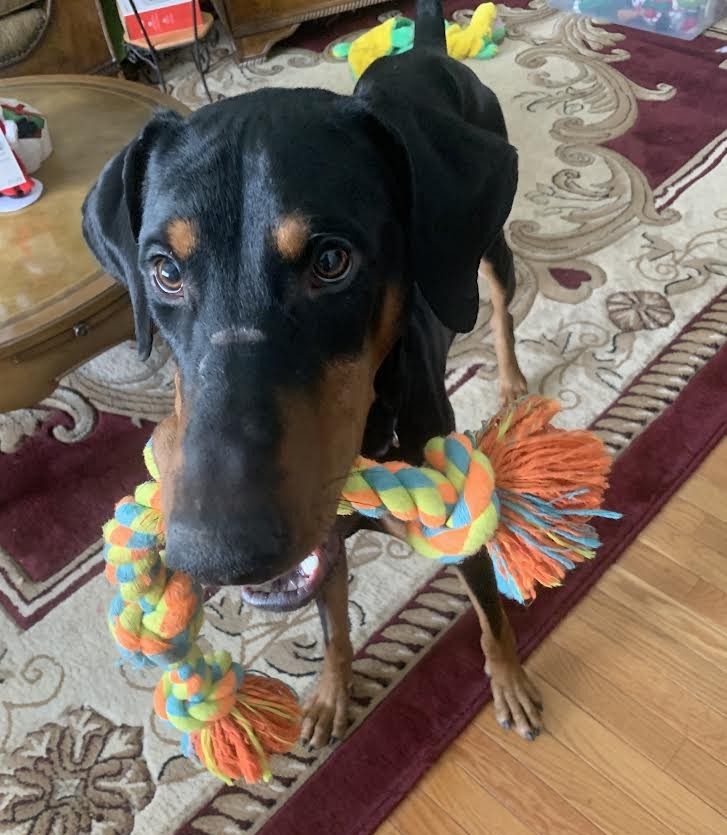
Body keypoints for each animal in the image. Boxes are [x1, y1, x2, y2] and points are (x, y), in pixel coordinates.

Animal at [82, 0, 541, 750]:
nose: (217, 553)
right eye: (165, 270)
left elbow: (489, 613)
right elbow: (331, 626)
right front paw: (328, 696)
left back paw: (511, 381)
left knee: (498, 303)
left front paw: (510, 682)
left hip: (487, 241)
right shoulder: (320, 542)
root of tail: (426, 49)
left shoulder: (458, 516)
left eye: (331, 261)